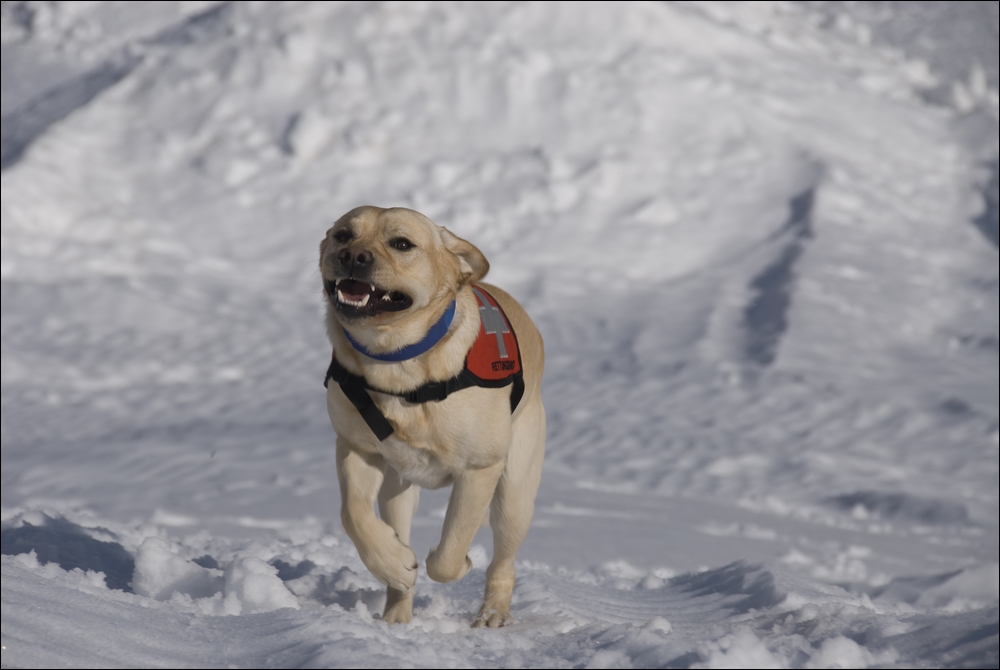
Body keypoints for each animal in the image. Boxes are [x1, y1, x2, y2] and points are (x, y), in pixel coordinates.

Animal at [318, 206, 548, 632]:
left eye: (402, 244)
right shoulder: (356, 448)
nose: (353, 256)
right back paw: (396, 609)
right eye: (343, 235)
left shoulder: (480, 469)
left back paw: (492, 614)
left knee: (503, 561)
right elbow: (352, 513)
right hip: (397, 489)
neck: (396, 361)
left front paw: (461, 563)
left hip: (515, 493)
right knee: (393, 524)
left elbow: (450, 553)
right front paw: (396, 564)